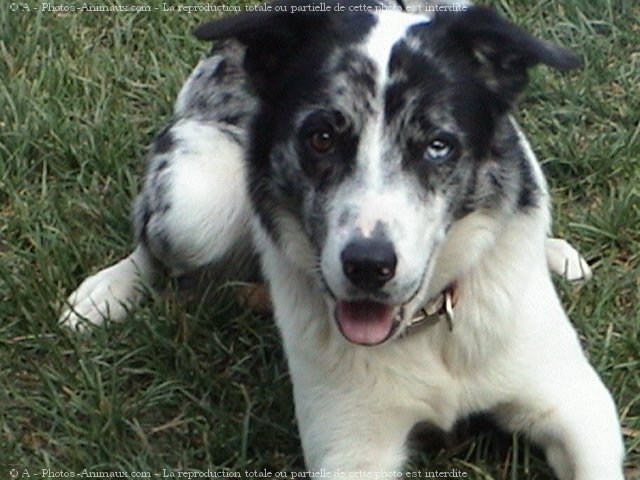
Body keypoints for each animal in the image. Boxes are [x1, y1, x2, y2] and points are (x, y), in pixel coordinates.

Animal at [58, 1, 620, 478]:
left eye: (438, 146)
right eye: (321, 138)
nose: (368, 265)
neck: (429, 324)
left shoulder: (579, 406)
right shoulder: (351, 445)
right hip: (194, 201)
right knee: (151, 240)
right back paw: (108, 291)